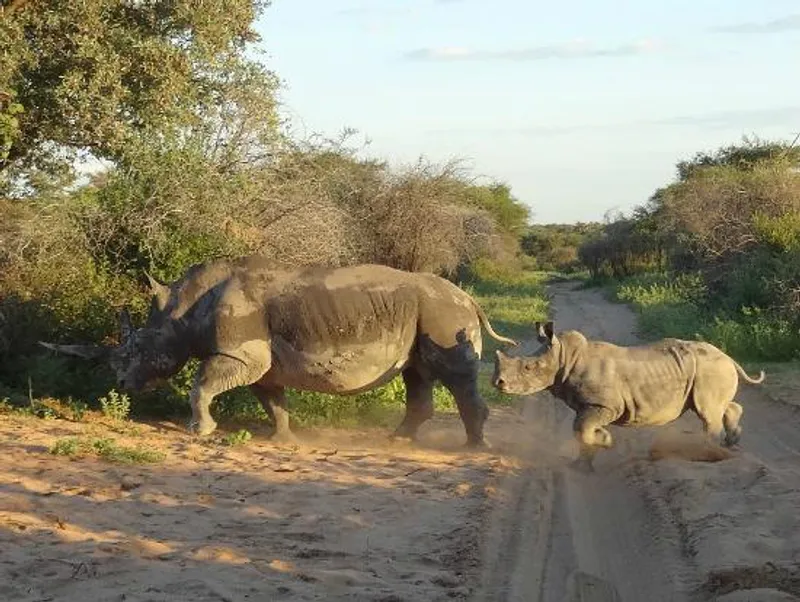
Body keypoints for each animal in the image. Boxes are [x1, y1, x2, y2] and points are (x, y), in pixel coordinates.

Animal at [41, 257, 517, 446]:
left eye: (139, 347)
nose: (122, 383)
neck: (181, 311)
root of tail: (468, 297)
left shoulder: (240, 354)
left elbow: (201, 384)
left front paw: (200, 431)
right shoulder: (259, 362)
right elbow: (272, 400)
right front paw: (282, 438)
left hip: (443, 315)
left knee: (454, 377)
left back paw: (474, 448)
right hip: (427, 314)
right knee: (416, 375)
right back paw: (397, 441)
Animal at [492, 321, 765, 470]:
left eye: (529, 367)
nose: (497, 382)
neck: (564, 358)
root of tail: (729, 357)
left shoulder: (605, 405)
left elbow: (582, 429)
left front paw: (605, 440)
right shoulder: (586, 404)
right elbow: (581, 431)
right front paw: (581, 465)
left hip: (710, 369)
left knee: (707, 413)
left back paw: (707, 452)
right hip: (709, 370)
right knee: (717, 408)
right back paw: (730, 443)